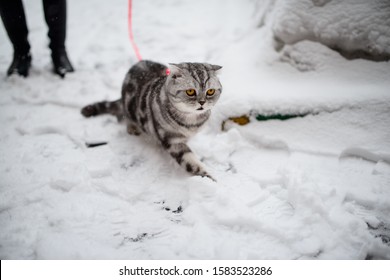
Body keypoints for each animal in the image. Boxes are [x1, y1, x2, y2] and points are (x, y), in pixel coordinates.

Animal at [81, 60, 222, 180]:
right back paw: (133, 127)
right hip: (129, 108)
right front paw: (209, 178)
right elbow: (192, 162)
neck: (191, 121)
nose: (202, 102)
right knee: (125, 117)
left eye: (210, 91)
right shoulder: (172, 140)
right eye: (191, 92)